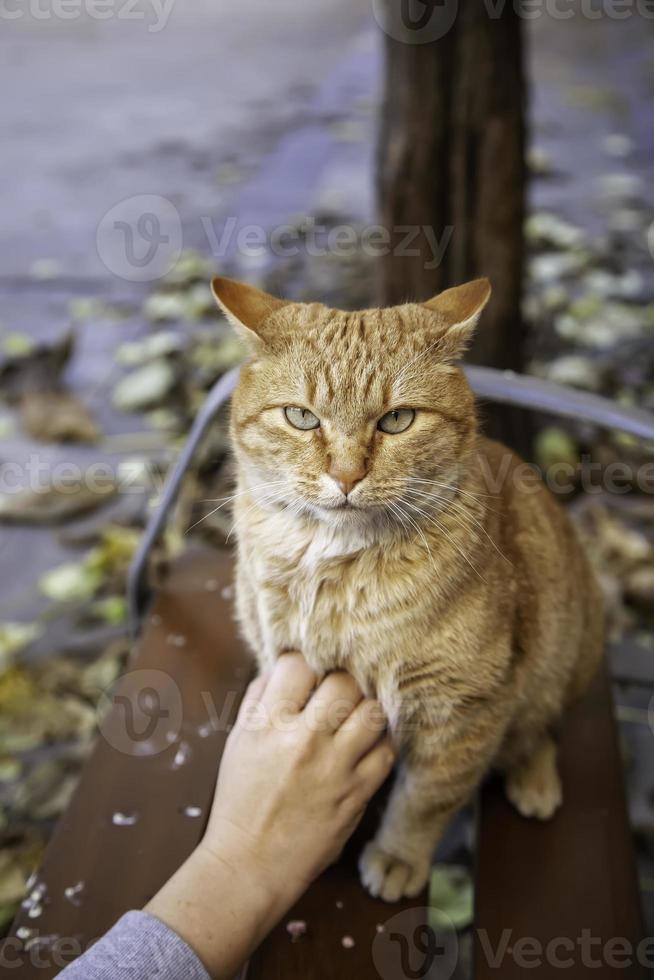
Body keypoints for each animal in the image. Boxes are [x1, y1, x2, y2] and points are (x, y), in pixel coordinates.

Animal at [213, 276, 608, 904]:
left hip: (567, 654)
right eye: (301, 417)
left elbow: (426, 798)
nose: (346, 476)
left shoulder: (465, 707)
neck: (334, 577)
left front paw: (398, 855)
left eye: (397, 420)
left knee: (539, 729)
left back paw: (534, 779)